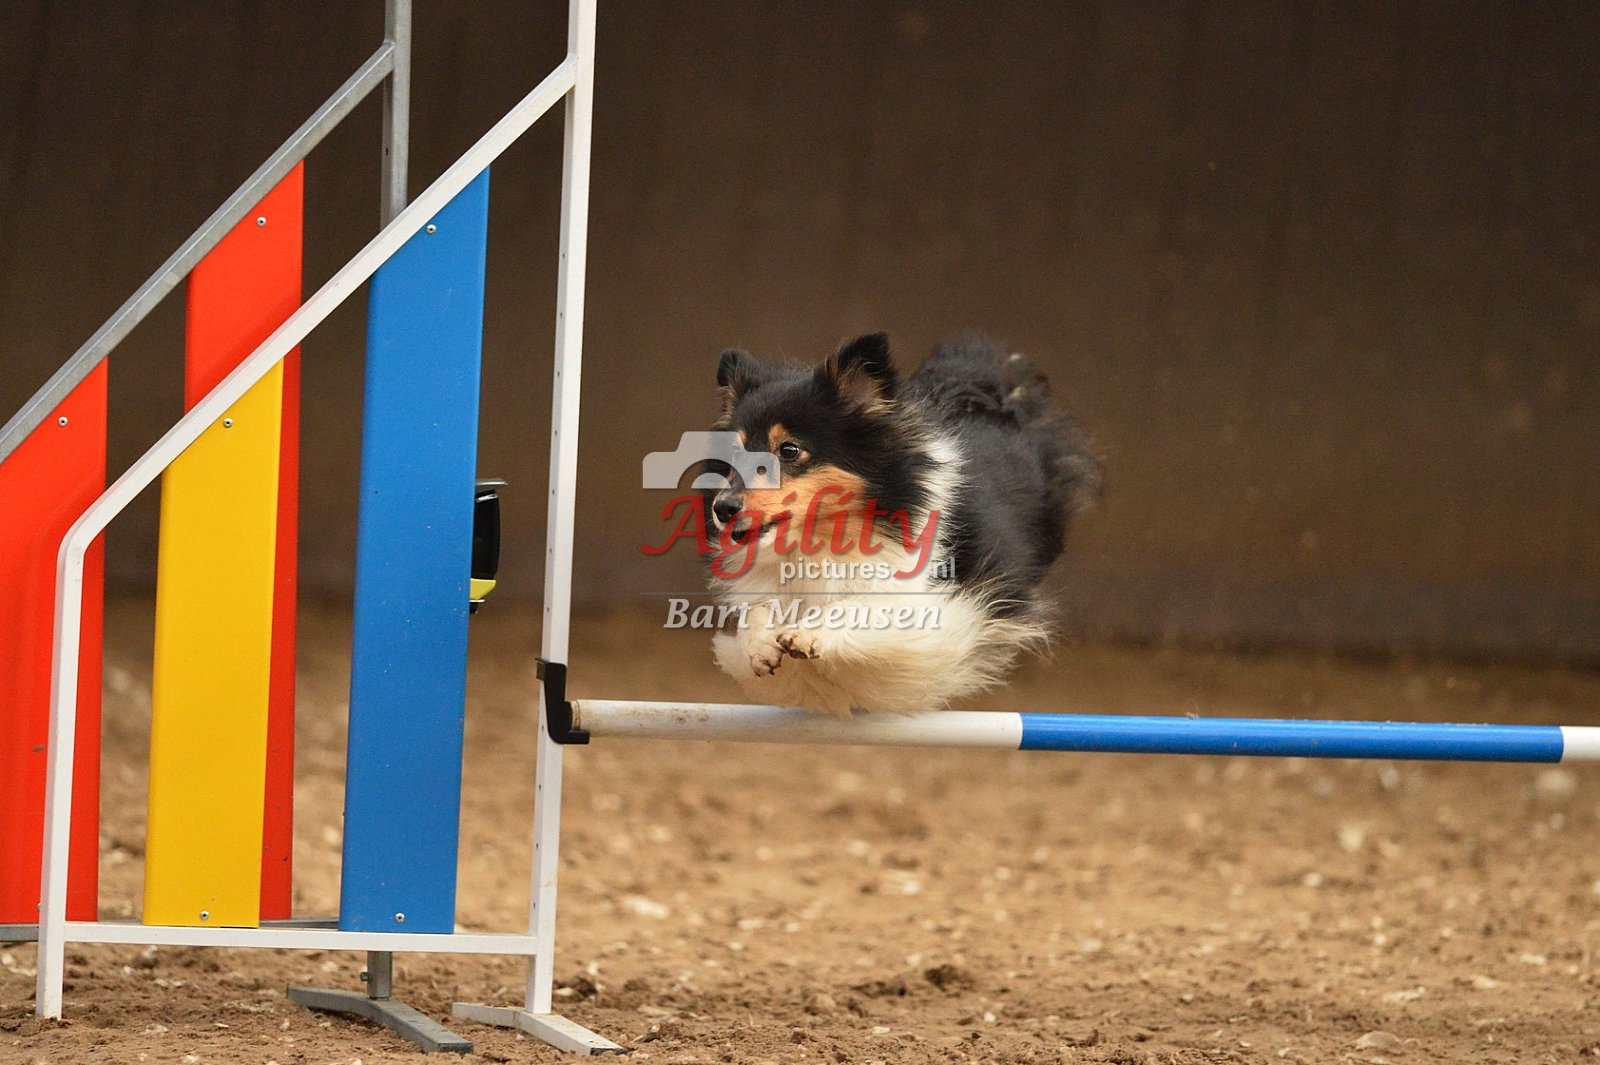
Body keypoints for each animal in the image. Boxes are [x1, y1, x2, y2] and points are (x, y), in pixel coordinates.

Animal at [702, 332, 1099, 716]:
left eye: (788, 450)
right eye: (734, 454)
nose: (723, 508)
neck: (821, 539)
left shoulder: (933, 599)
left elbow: (862, 606)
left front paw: (807, 634)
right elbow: (757, 612)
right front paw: (761, 647)